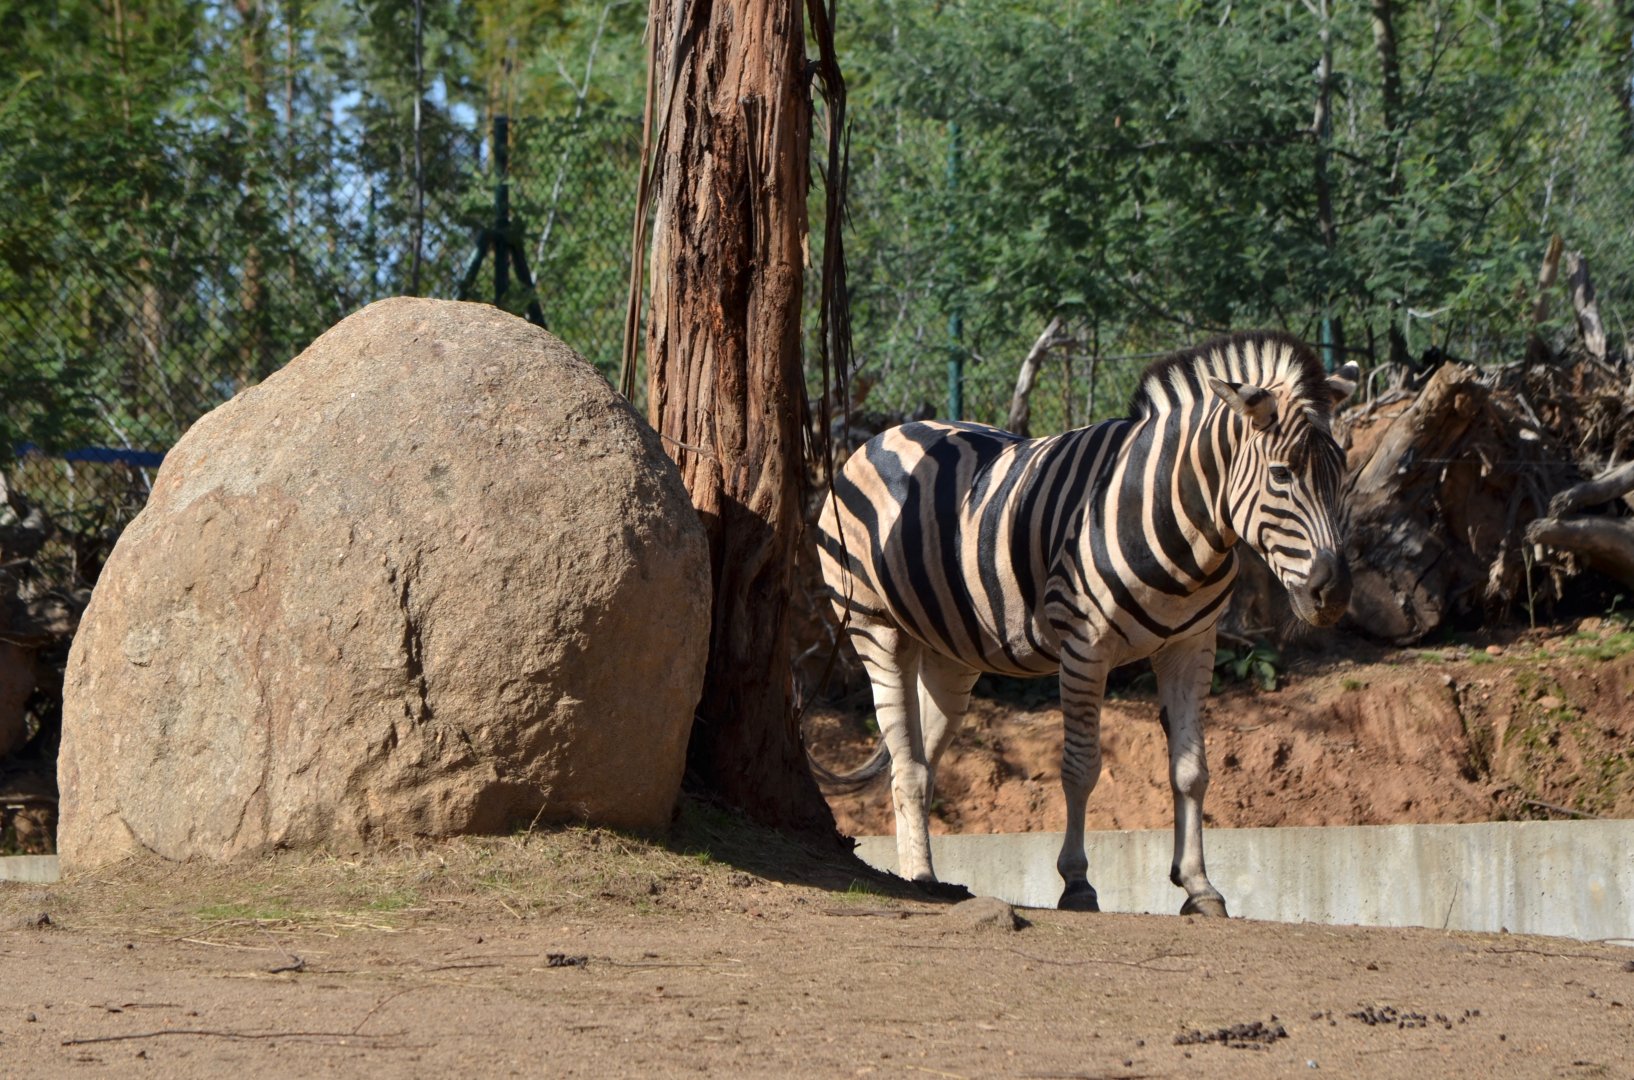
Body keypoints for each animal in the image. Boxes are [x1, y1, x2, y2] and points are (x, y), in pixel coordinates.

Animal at [815, 331, 1358, 916]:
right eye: (1282, 475)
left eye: (1342, 475)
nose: (1334, 593)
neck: (1175, 515)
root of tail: (885, 434)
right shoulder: (1085, 645)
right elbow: (1081, 768)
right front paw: (1077, 883)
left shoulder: (1192, 644)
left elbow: (1191, 771)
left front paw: (1199, 886)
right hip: (875, 627)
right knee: (908, 763)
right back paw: (920, 878)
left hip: (950, 651)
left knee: (917, 760)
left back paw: (923, 872)